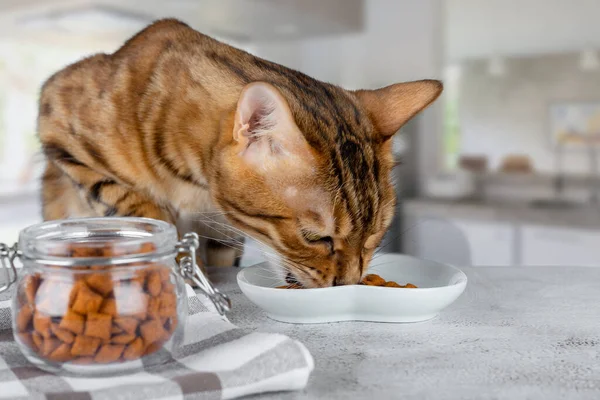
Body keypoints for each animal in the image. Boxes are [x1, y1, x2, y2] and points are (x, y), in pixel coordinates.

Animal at [36, 18, 440, 288]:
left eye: (376, 234)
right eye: (315, 238)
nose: (350, 283)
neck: (196, 187)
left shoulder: (222, 231)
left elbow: (221, 253)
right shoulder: (54, 116)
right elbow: (129, 200)